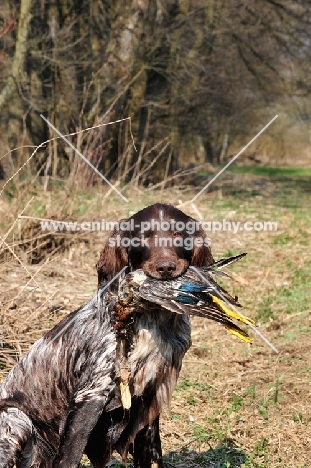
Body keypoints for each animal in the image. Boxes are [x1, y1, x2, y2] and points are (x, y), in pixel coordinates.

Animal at [0, 204, 214, 468]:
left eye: (178, 234)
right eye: (142, 237)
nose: (166, 267)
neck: (154, 321)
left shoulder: (148, 402)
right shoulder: (92, 394)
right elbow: (69, 457)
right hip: (16, 416)